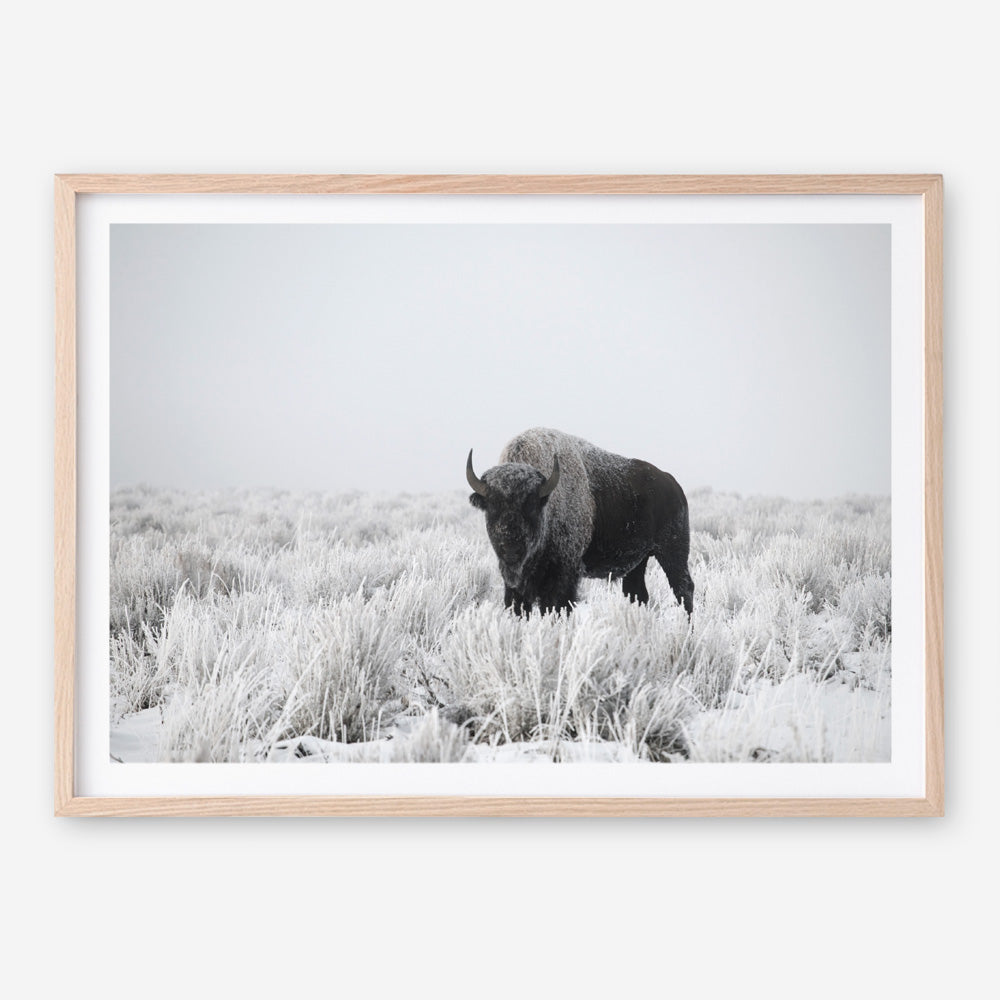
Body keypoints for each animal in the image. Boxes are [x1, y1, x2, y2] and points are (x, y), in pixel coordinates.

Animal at [467, 428, 693, 616]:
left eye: (530, 506)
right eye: (492, 506)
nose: (511, 548)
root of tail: (673, 485)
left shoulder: (564, 574)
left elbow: (557, 606)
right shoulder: (515, 584)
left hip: (672, 552)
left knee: (683, 589)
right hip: (639, 561)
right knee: (638, 594)